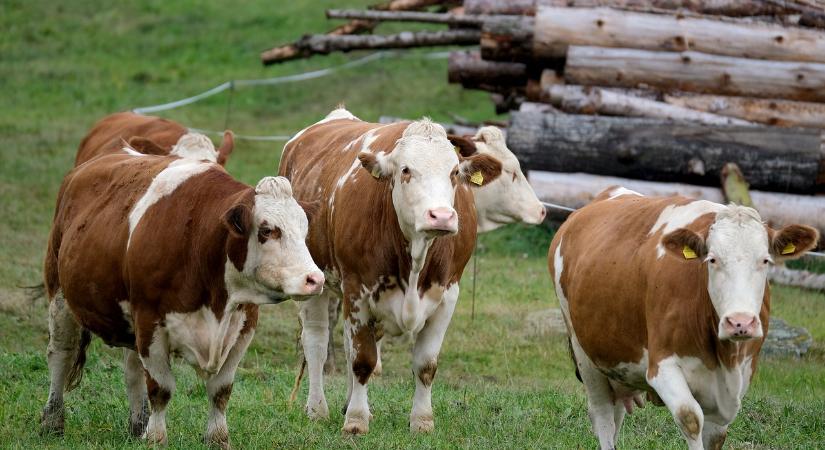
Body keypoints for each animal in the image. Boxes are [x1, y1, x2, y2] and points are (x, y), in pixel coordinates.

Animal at [42, 150, 322, 446]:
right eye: (267, 230)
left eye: (305, 231)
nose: (315, 279)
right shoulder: (150, 322)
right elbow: (161, 388)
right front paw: (156, 438)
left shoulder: (244, 326)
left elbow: (221, 389)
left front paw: (217, 438)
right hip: (60, 295)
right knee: (61, 354)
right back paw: (52, 422)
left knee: (132, 370)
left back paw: (137, 425)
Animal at [280, 107, 502, 434]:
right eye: (406, 170)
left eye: (453, 173)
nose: (441, 216)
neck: (416, 259)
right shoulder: (357, 290)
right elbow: (362, 360)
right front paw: (355, 421)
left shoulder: (448, 295)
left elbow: (425, 364)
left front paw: (422, 421)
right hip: (314, 282)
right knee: (317, 342)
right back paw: (318, 409)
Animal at [548, 187, 816, 450]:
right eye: (712, 259)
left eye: (765, 260)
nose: (740, 323)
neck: (723, 357)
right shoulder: (662, 366)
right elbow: (691, 418)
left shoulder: (742, 375)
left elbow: (716, 434)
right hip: (584, 353)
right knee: (603, 415)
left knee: (616, 415)